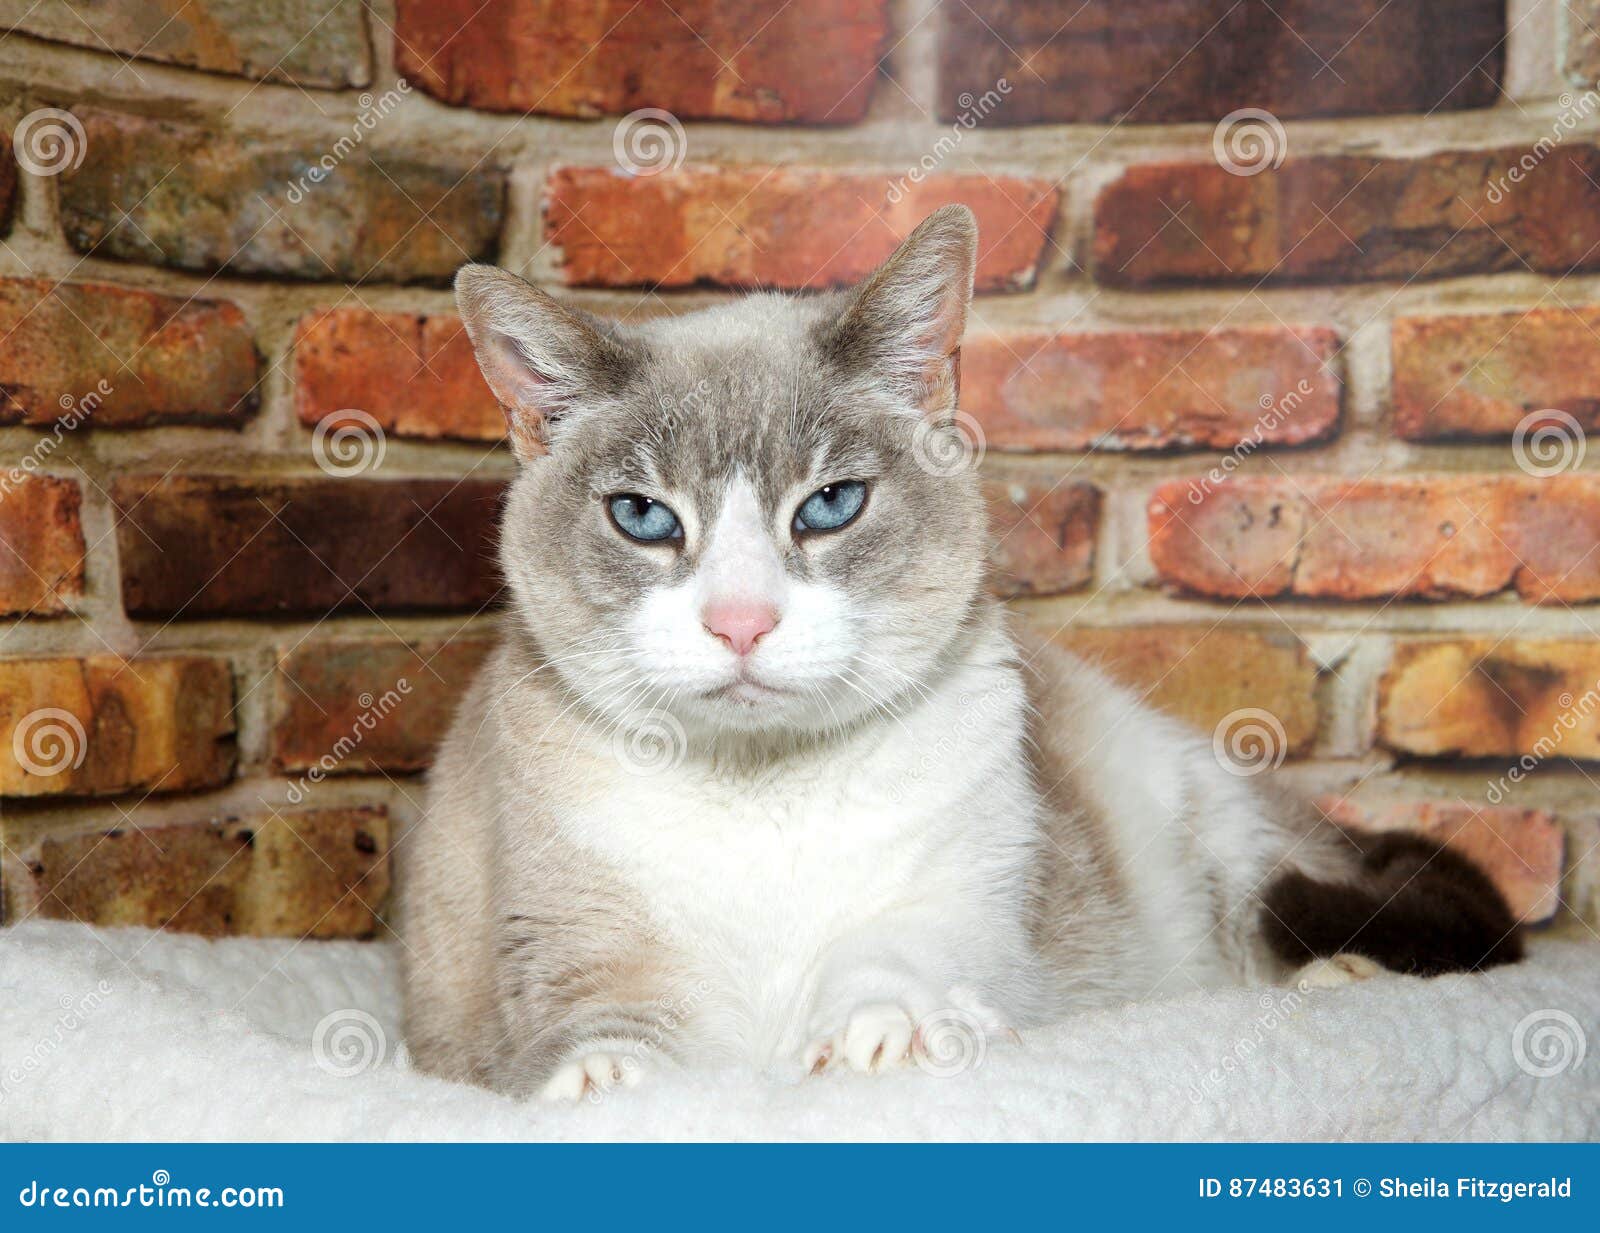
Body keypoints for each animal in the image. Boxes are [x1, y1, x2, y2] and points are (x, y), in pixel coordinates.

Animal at [396, 207, 1510, 1106]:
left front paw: (876, 1042)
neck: (760, 796)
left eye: (830, 505)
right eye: (641, 518)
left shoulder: (959, 913)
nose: (742, 623)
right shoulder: (572, 952)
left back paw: (1342, 981)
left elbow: (891, 969)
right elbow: (604, 1036)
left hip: (1217, 840)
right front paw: (603, 1086)